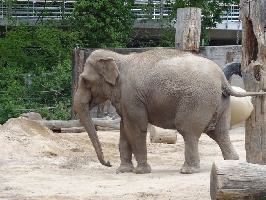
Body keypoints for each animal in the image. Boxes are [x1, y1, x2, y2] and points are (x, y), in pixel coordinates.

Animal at [73, 48, 266, 173]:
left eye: (85, 80)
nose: (108, 163)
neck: (119, 58)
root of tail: (222, 79)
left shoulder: (132, 96)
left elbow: (137, 128)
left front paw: (141, 171)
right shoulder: (127, 101)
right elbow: (124, 128)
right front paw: (123, 171)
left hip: (198, 101)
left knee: (188, 131)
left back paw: (188, 170)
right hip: (221, 103)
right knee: (219, 132)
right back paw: (232, 164)